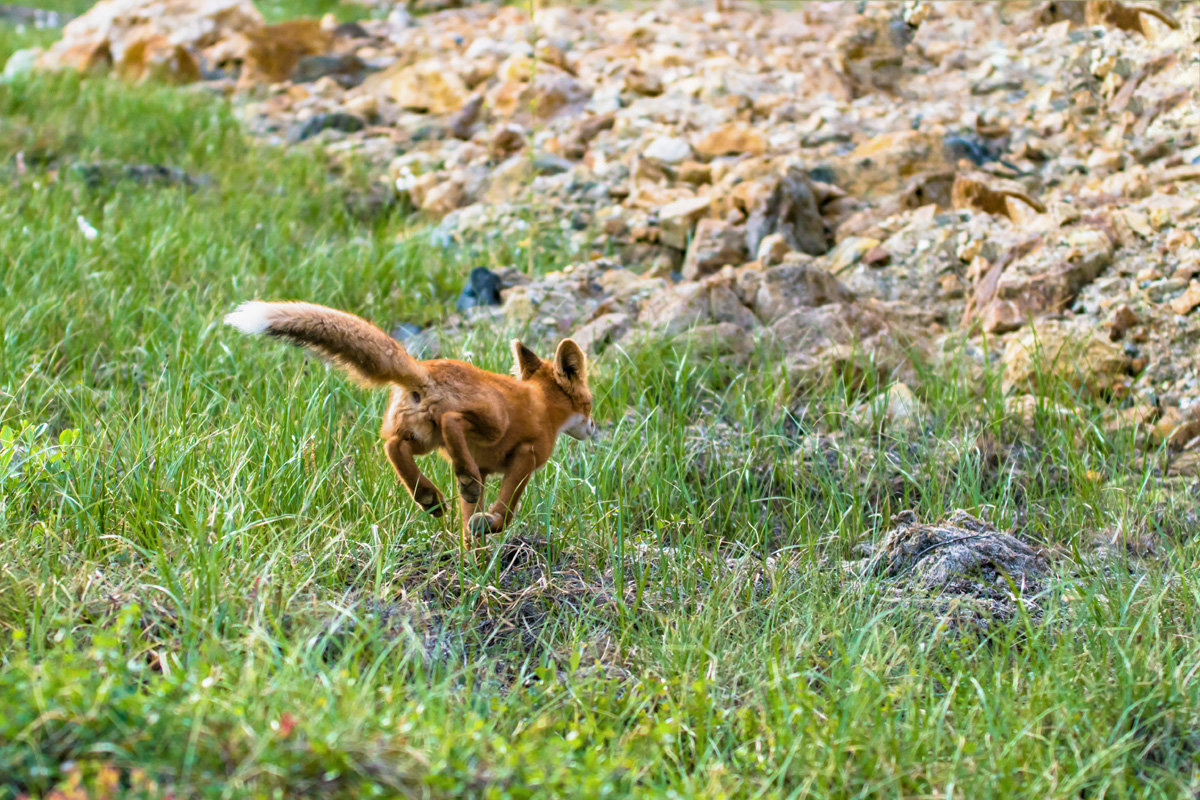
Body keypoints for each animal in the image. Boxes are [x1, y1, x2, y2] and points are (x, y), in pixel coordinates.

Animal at [223, 303, 597, 542]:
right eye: (590, 403)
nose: (595, 429)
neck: (542, 407)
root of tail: (425, 370)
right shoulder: (526, 456)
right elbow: (504, 512)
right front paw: (488, 525)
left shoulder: (488, 467)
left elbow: (467, 520)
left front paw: (471, 557)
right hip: (492, 421)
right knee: (451, 421)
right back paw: (456, 482)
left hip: (421, 437)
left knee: (393, 445)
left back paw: (429, 495)